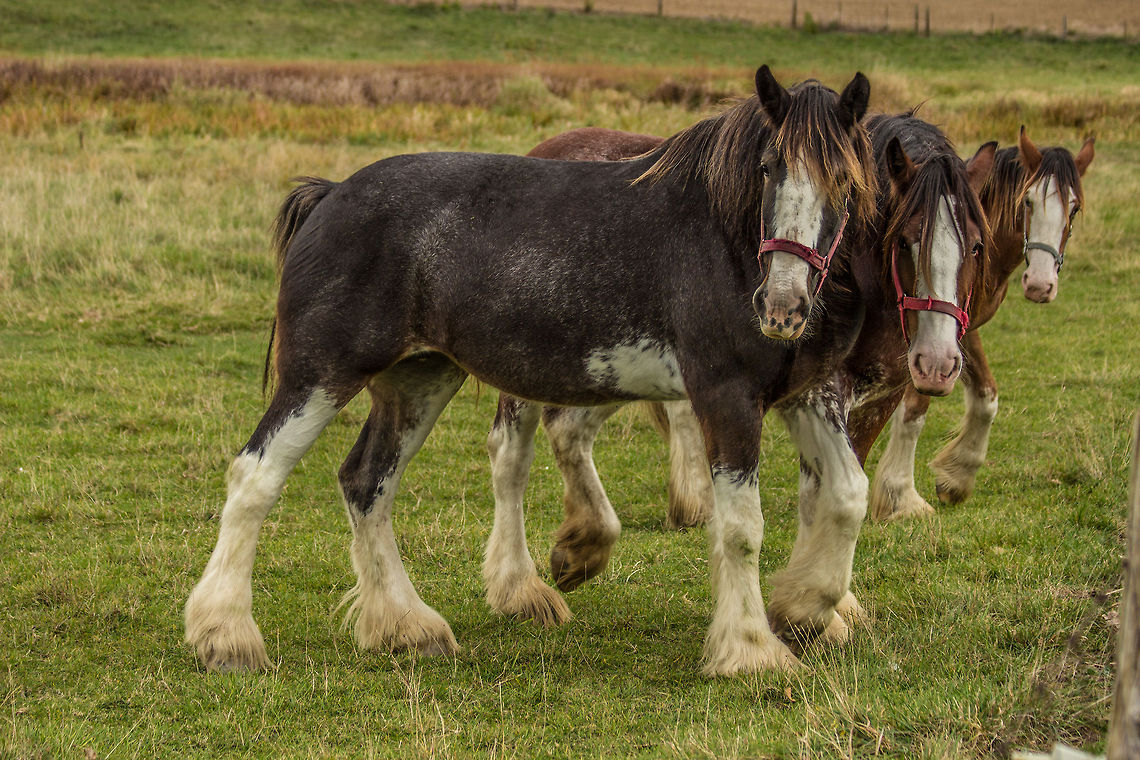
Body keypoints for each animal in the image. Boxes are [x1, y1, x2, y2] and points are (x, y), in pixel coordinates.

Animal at [183, 66, 879, 676]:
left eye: (845, 183)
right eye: (768, 169)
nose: (783, 307)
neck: (723, 240)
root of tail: (332, 194)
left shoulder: (805, 395)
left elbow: (848, 495)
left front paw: (807, 609)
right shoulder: (725, 397)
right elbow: (740, 529)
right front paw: (751, 651)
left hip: (421, 379)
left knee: (367, 482)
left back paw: (407, 627)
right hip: (321, 377)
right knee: (256, 477)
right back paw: (226, 637)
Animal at [483, 112, 994, 642]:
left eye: (977, 246)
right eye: (904, 240)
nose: (937, 362)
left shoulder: (875, 396)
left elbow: (843, 484)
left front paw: (824, 601)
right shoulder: (819, 391)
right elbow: (822, 492)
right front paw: (817, 610)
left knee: (568, 429)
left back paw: (582, 546)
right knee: (511, 454)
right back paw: (520, 589)